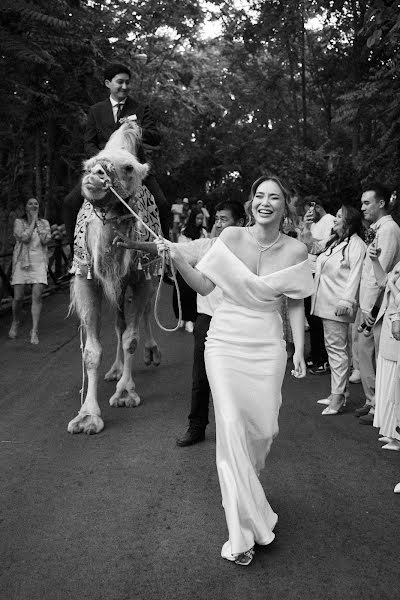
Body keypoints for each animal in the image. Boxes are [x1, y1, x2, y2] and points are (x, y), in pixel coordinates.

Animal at [67, 119, 162, 434]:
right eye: (89, 163)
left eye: (129, 167)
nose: (94, 176)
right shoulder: (85, 276)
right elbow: (92, 351)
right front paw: (87, 416)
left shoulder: (143, 275)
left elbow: (132, 336)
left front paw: (125, 393)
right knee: (120, 324)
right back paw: (116, 369)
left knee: (143, 314)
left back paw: (151, 354)